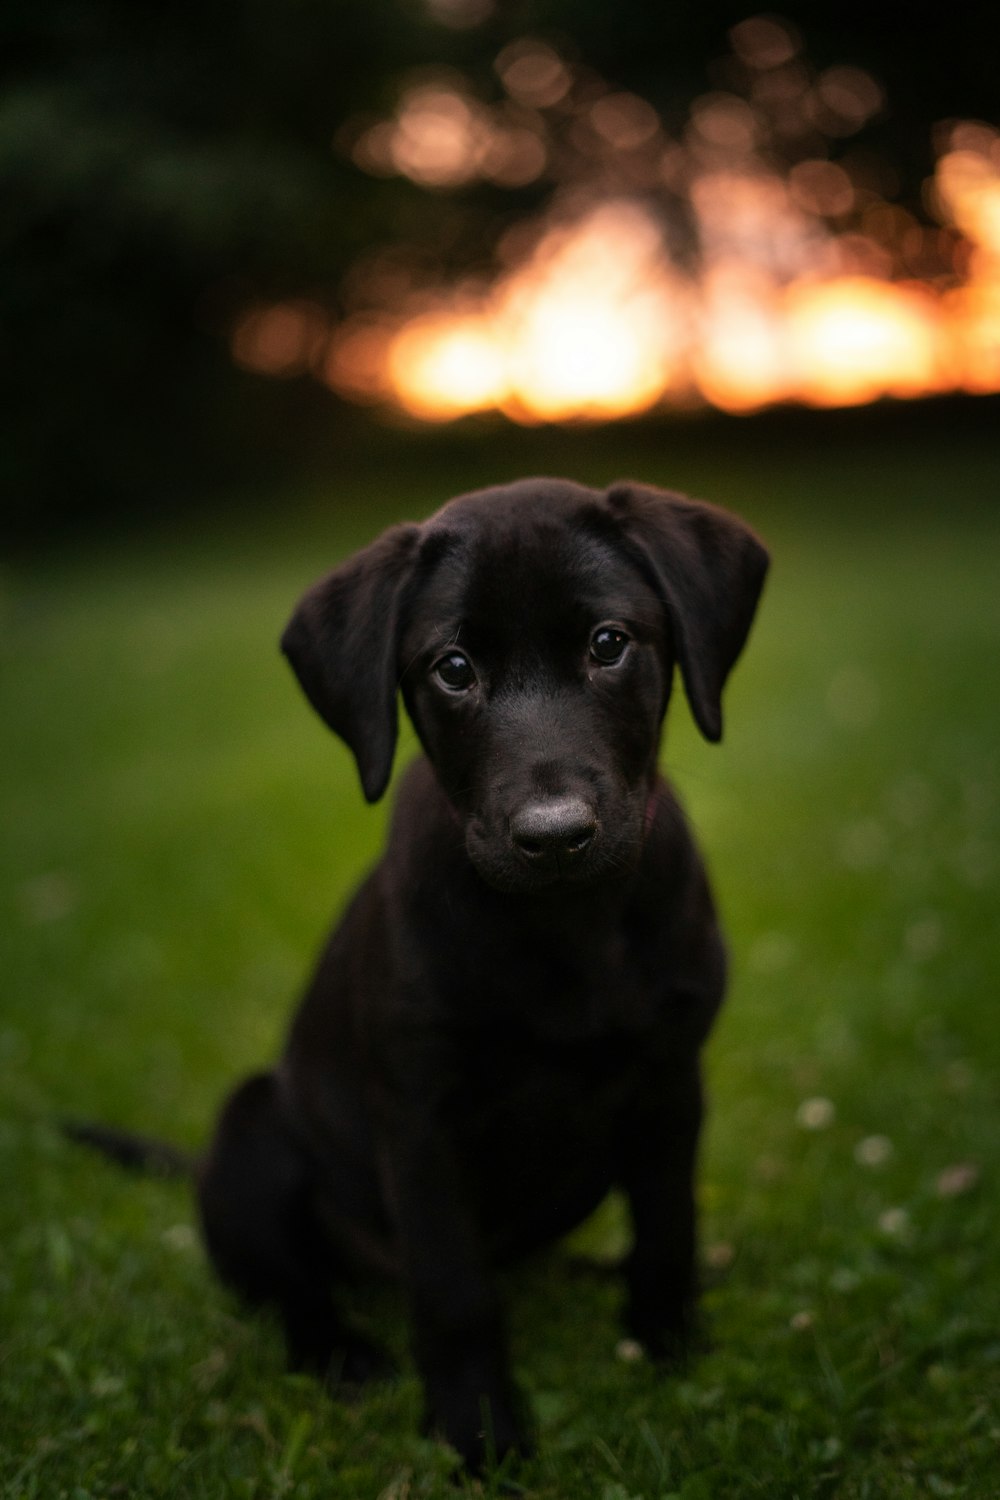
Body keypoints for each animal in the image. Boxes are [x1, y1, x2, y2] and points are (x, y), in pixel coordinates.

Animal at [199, 474, 773, 1470]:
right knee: (294, 1290)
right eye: (454, 668)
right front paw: (478, 1430)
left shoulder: (670, 1081)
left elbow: (668, 1227)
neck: (566, 925)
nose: (555, 836)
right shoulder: (421, 1122)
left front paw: (669, 1345)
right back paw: (344, 1355)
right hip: (252, 1135)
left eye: (609, 643)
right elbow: (454, 1291)